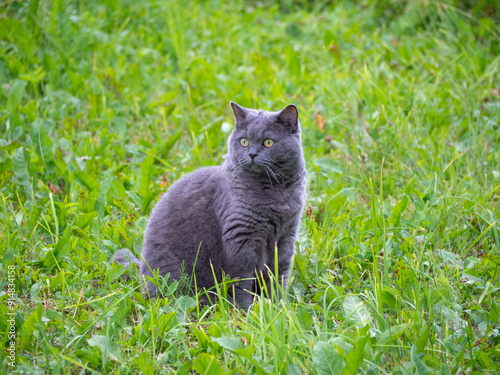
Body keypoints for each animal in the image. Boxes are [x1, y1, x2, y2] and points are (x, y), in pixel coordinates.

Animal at [116, 103, 304, 308]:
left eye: (268, 142)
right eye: (244, 141)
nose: (252, 154)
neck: (274, 191)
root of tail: (142, 270)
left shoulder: (286, 237)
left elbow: (278, 277)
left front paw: (278, 307)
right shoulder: (241, 240)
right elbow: (242, 282)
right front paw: (246, 311)